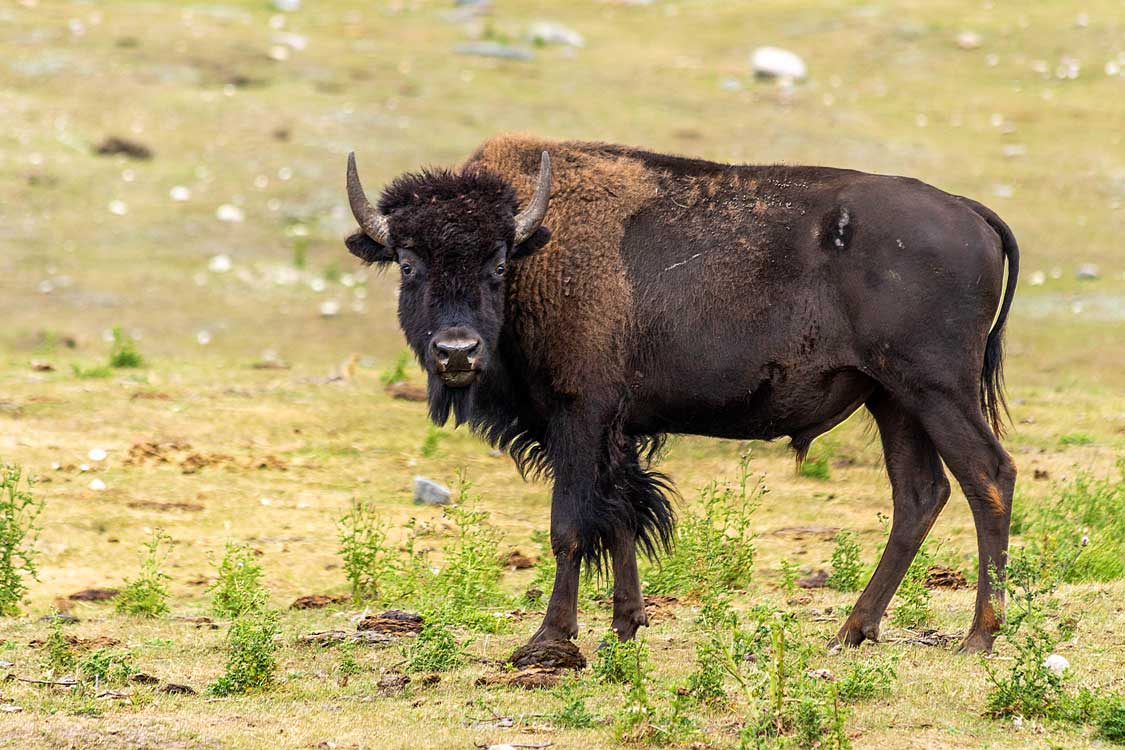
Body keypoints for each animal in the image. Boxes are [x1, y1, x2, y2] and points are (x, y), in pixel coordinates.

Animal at [342, 136, 1021, 656]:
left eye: (499, 263)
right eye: (408, 264)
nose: (457, 352)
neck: (542, 248)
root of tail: (967, 210)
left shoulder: (579, 417)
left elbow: (570, 526)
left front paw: (550, 639)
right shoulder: (613, 432)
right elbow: (619, 517)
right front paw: (625, 625)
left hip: (935, 388)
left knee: (987, 476)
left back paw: (977, 638)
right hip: (892, 399)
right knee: (919, 495)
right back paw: (852, 632)